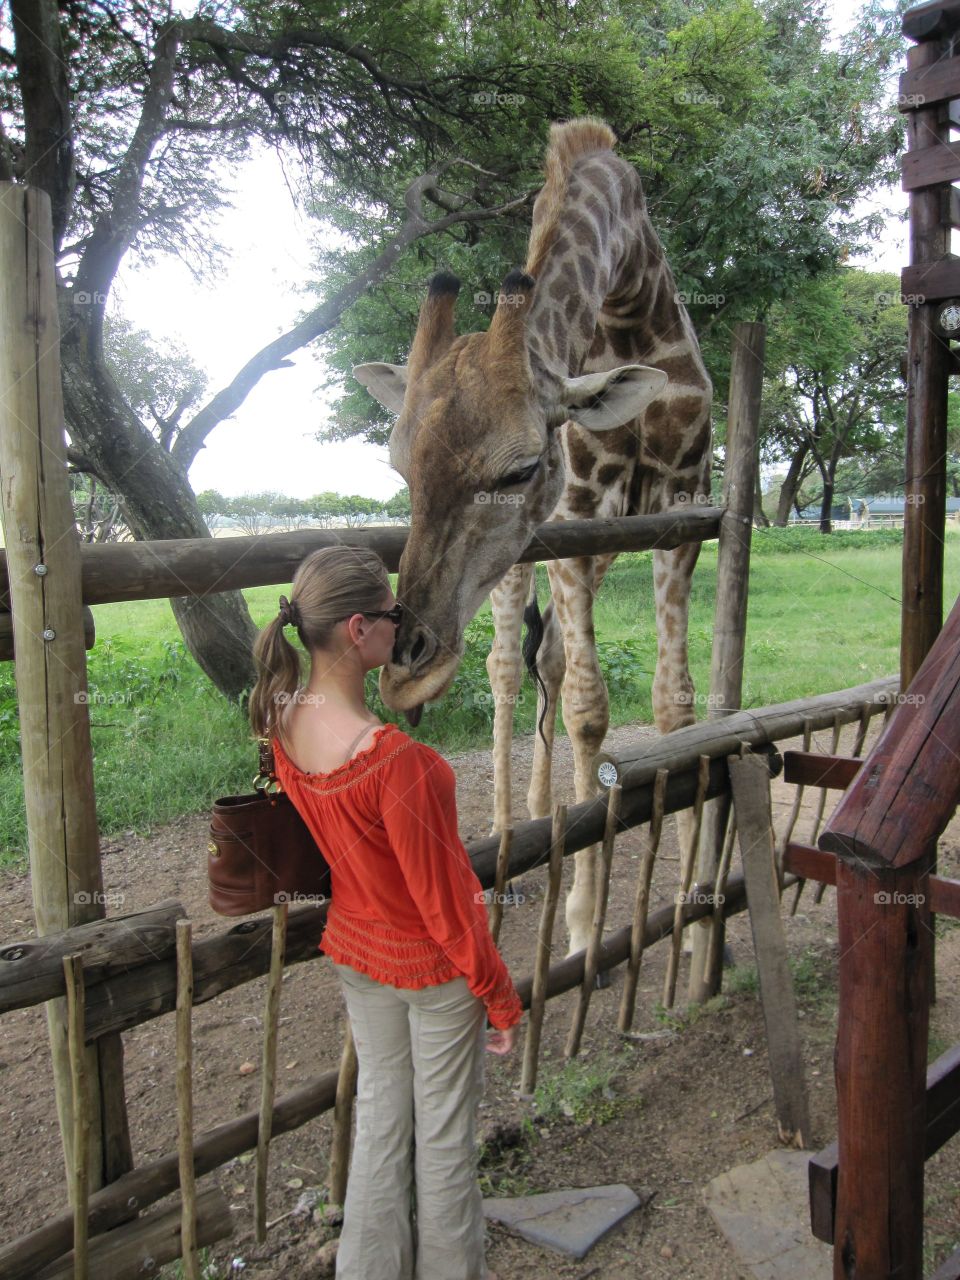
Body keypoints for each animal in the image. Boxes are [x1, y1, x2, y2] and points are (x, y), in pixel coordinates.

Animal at [353, 117, 712, 960]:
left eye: (519, 468)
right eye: (399, 466)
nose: (405, 671)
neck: (631, 297)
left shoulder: (682, 516)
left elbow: (673, 701)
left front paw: (688, 913)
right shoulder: (576, 517)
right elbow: (588, 707)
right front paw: (582, 927)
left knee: (544, 658)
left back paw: (550, 822)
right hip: (526, 564)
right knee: (509, 667)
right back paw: (510, 856)